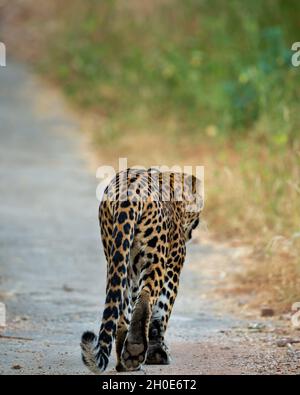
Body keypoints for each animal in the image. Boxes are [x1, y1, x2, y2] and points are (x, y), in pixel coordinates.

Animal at [79, 167, 203, 374]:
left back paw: (125, 361)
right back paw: (136, 349)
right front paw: (158, 353)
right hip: (155, 258)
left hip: (119, 259)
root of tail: (129, 192)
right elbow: (162, 310)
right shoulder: (173, 265)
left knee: (123, 308)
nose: (197, 224)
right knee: (146, 299)